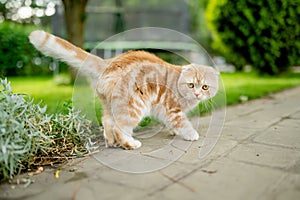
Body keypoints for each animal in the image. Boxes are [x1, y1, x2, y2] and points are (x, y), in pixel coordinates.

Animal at [28, 30, 218, 149]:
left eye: (205, 87)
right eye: (191, 85)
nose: (197, 93)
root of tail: (109, 62)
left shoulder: (164, 110)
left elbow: (170, 123)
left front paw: (172, 131)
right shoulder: (172, 109)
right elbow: (182, 122)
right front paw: (190, 134)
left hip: (110, 105)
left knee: (107, 121)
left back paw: (111, 142)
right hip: (134, 106)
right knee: (119, 128)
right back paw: (130, 144)